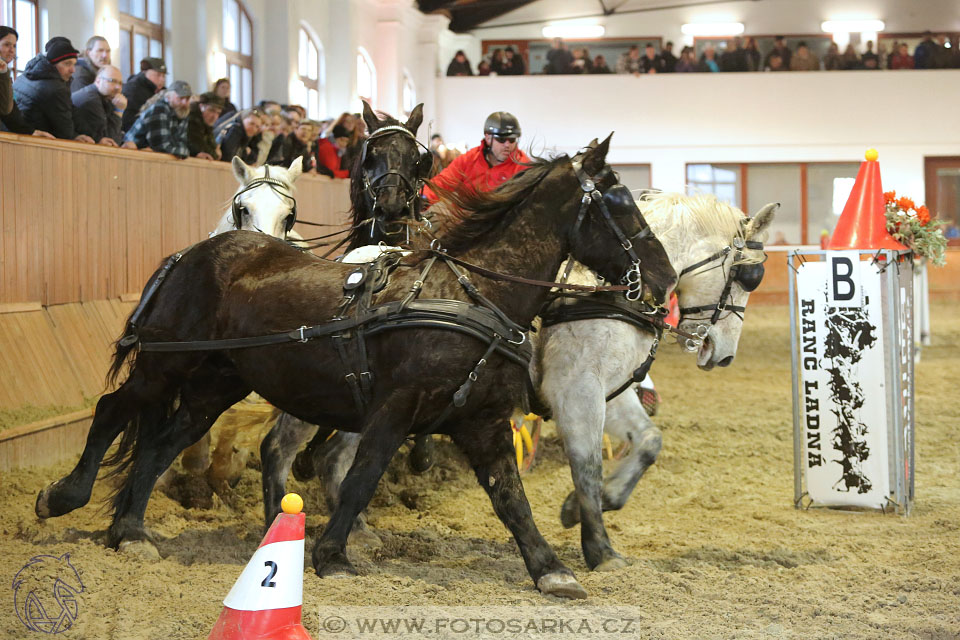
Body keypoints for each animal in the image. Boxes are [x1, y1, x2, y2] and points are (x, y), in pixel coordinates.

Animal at [35, 136, 676, 600]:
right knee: (114, 411)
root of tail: (192, 252)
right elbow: (364, 475)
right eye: (622, 202)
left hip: (216, 383)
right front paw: (332, 555)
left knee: (163, 441)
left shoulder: (483, 420)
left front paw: (552, 569)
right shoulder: (396, 407)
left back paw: (129, 530)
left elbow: (510, 497)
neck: (470, 295)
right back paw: (66, 497)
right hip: (165, 364)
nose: (665, 279)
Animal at [536, 191, 776, 568]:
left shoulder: (610, 388)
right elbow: (587, 466)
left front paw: (594, 501)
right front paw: (601, 549)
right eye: (750, 275)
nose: (726, 356)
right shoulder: (575, 388)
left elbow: (649, 441)